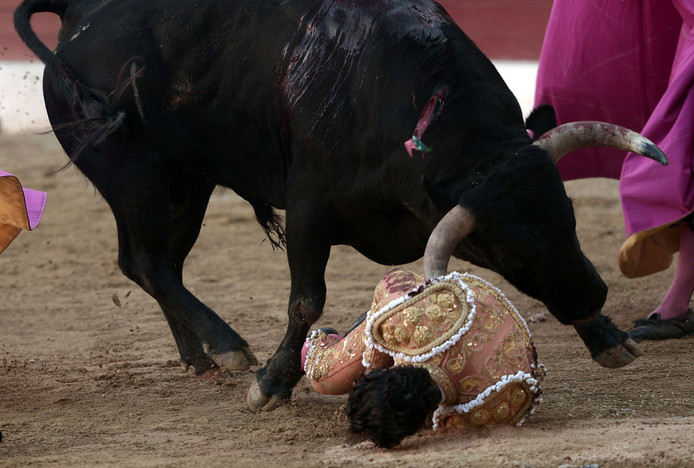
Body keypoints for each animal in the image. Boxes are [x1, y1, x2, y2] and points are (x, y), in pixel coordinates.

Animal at [13, 0, 668, 410]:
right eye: (503, 250)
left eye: (569, 217)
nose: (590, 298)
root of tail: (80, 18)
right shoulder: (309, 209)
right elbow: (306, 300)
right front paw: (271, 385)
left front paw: (608, 337)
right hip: (140, 181)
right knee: (147, 263)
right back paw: (227, 348)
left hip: (185, 187)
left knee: (155, 264)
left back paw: (199, 357)